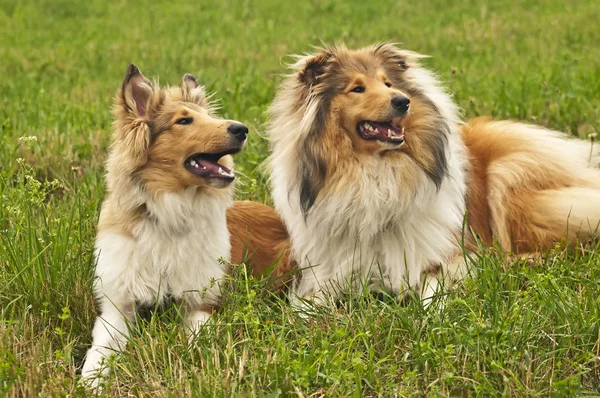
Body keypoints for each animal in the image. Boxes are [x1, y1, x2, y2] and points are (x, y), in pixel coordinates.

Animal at [81, 65, 292, 386]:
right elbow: (100, 350)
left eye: (208, 117)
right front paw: (90, 381)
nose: (242, 129)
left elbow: (199, 340)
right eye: (183, 120)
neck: (170, 214)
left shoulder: (200, 302)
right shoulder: (117, 306)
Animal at [268, 43, 600, 310]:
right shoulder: (325, 270)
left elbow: (433, 289)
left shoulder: (454, 256)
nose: (402, 101)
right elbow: (307, 303)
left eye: (388, 83)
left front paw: (432, 313)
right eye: (357, 88)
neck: (374, 174)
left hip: (509, 176)